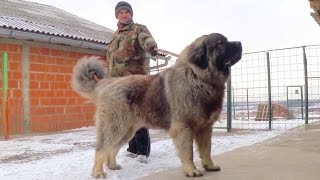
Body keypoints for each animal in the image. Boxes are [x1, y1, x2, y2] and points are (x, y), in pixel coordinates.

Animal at [71, 33, 241, 178]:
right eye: (221, 43)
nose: (239, 43)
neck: (198, 77)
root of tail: (107, 84)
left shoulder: (205, 127)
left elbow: (206, 150)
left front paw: (209, 166)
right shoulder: (184, 127)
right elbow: (188, 152)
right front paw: (191, 170)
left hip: (127, 130)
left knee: (112, 148)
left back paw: (112, 166)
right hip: (116, 126)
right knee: (101, 148)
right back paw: (98, 173)